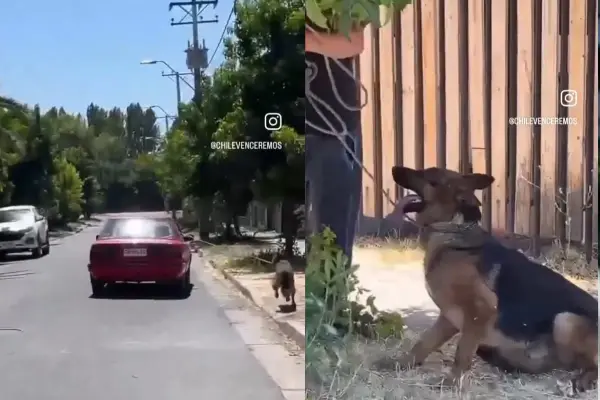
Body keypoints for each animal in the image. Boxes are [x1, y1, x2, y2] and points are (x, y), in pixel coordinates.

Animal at [394, 166, 596, 394]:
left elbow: (461, 353)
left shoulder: (479, 311)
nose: (394, 168)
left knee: (592, 364)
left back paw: (584, 379)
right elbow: (424, 342)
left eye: (429, 176)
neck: (451, 229)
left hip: (565, 320)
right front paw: (402, 363)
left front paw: (452, 383)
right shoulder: (449, 317)